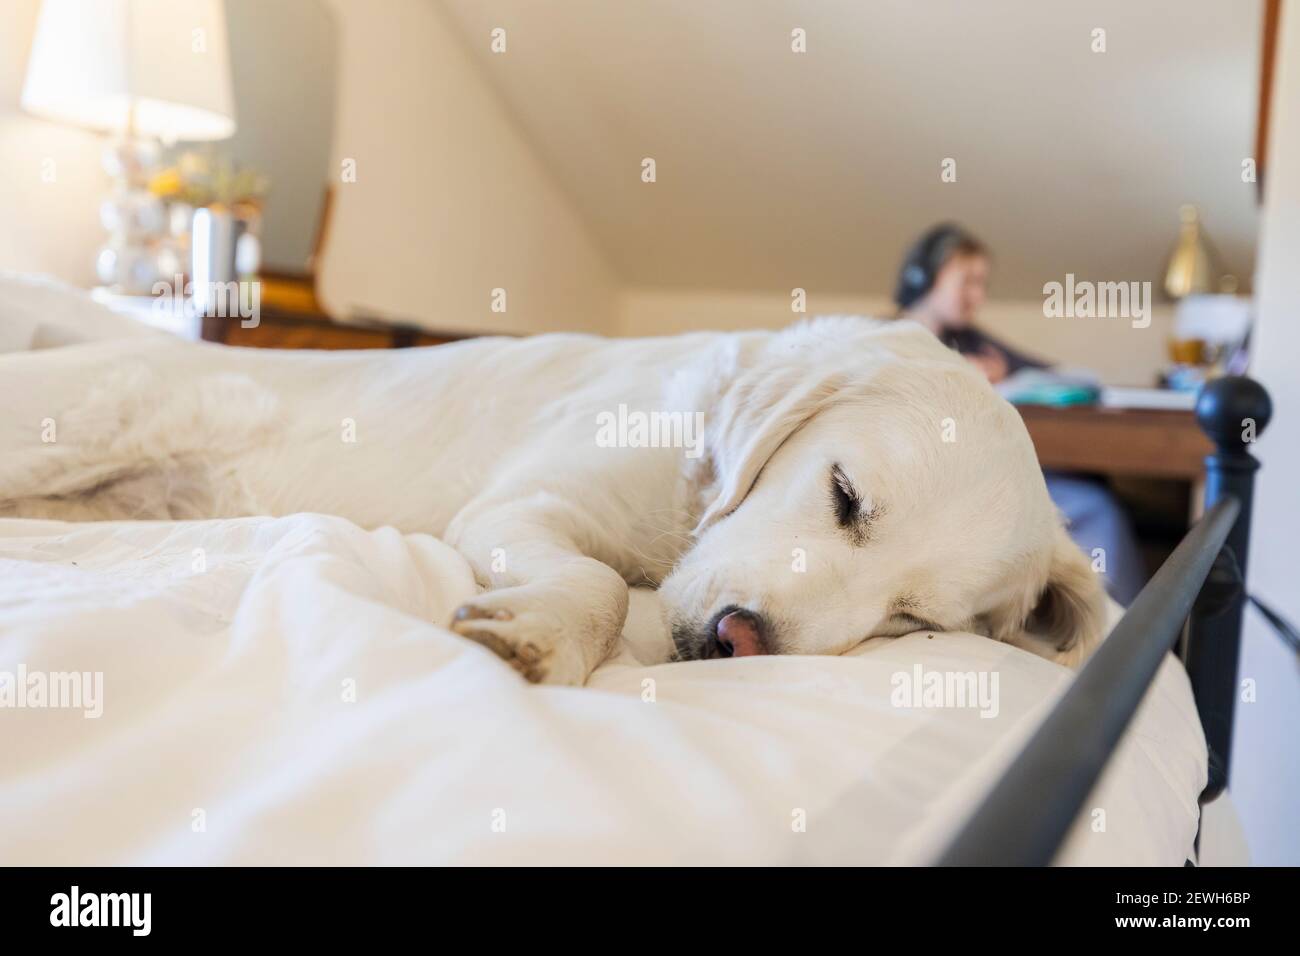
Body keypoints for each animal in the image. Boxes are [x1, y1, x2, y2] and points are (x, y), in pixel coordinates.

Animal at [0, 312, 1107, 681]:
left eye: (913, 620)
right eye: (843, 495)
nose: (740, 638)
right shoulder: (522, 508)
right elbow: (601, 584)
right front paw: (545, 633)